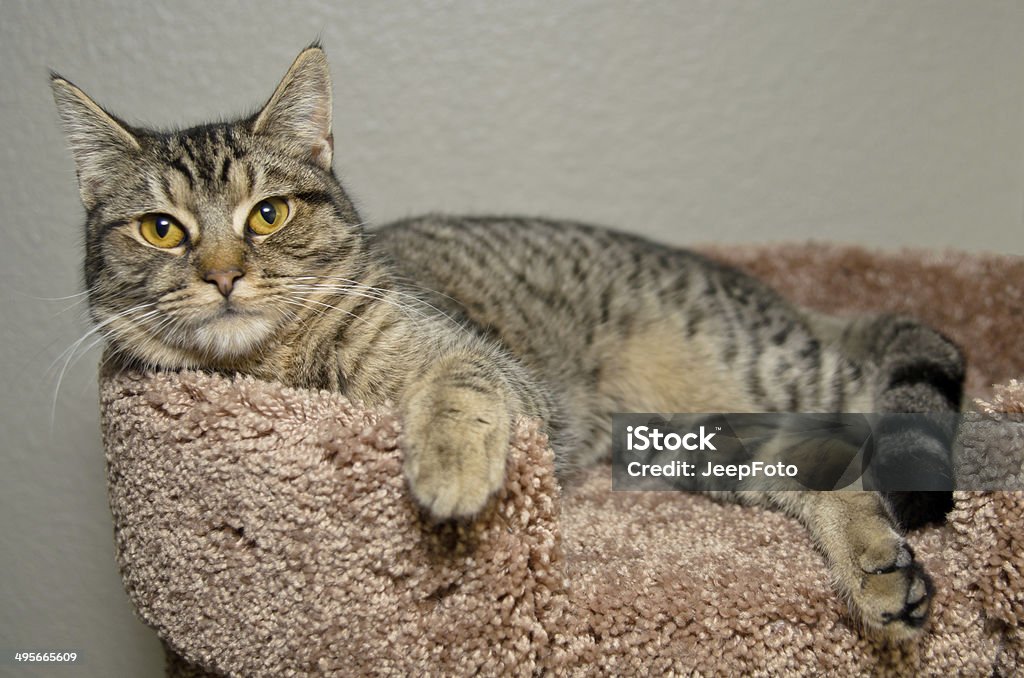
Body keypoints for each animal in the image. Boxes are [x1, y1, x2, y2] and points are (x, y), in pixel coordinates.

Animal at [51, 46, 962, 643]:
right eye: (161, 229)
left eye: (268, 214)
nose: (223, 275)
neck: (272, 370)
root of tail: (779, 297)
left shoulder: (492, 369)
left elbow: (458, 384)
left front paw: (450, 468)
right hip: (702, 447)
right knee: (827, 468)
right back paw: (880, 573)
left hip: (768, 369)